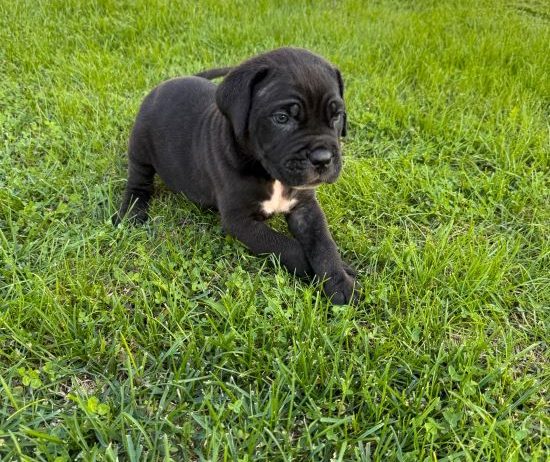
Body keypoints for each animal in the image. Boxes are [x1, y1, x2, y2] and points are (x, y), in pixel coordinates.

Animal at [114, 48, 360, 304]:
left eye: (336, 115)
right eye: (282, 118)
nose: (323, 158)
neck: (268, 173)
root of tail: (163, 85)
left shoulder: (305, 207)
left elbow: (324, 244)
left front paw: (340, 279)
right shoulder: (240, 221)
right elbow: (286, 246)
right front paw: (315, 272)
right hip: (140, 148)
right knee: (138, 183)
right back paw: (132, 213)